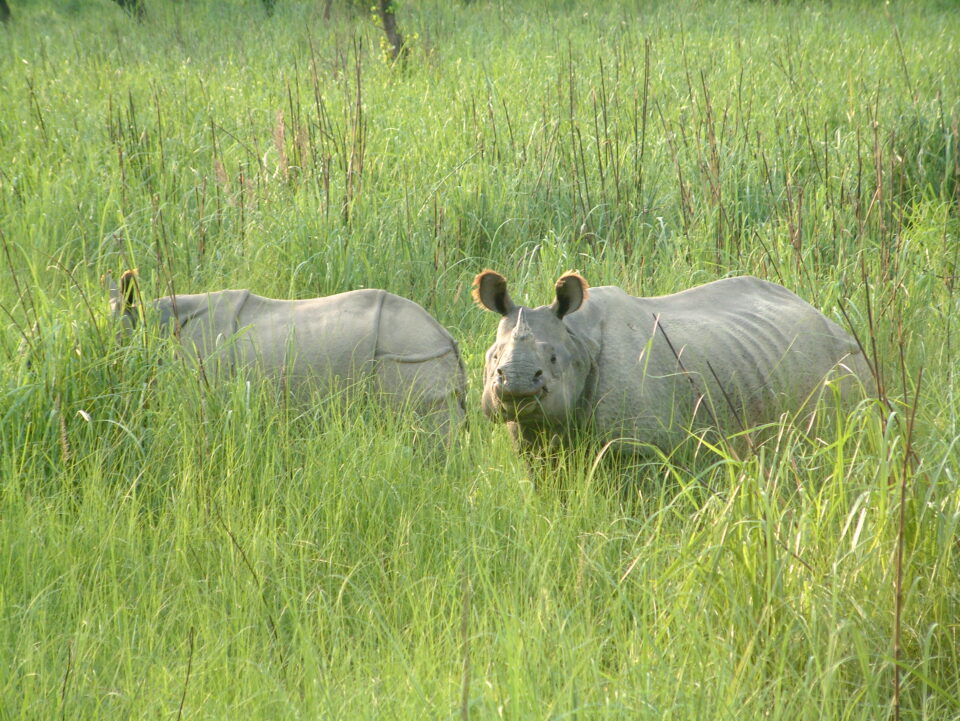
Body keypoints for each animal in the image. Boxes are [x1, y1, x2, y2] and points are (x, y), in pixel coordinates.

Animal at [473, 270, 874, 455]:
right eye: (492, 358)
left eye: (554, 359)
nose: (517, 383)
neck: (576, 337)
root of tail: (823, 316)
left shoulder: (638, 442)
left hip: (841, 360)